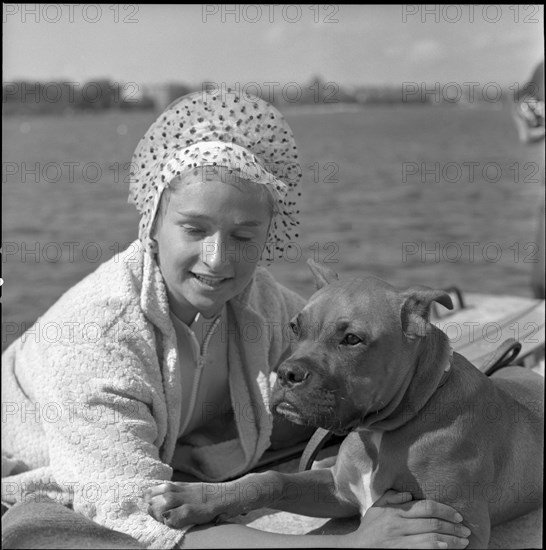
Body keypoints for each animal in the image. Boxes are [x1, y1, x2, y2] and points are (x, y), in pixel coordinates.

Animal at [144, 262, 540, 548]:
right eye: (294, 327)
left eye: (352, 339)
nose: (286, 373)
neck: (382, 431)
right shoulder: (338, 489)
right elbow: (271, 479)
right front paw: (194, 497)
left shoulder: (460, 528)